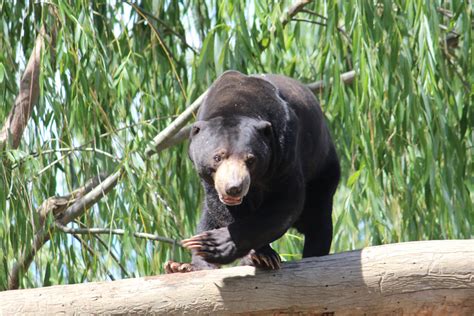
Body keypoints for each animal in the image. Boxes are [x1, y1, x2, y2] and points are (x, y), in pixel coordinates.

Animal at [165, 70, 338, 272]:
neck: (235, 104)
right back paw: (181, 265)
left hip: (322, 171)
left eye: (251, 159)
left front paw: (224, 247)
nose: (234, 188)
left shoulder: (285, 153)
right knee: (207, 218)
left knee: (317, 219)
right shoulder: (209, 181)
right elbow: (222, 209)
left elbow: (285, 203)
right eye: (217, 157)